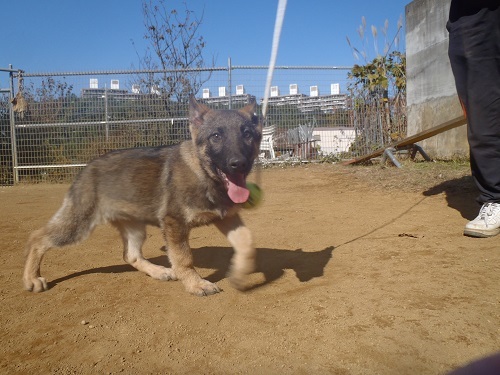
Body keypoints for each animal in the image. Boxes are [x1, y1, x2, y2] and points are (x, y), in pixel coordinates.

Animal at [24, 96, 262, 296]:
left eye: (247, 134)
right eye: (216, 136)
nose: (238, 164)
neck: (204, 174)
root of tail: (87, 168)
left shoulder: (227, 217)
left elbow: (247, 242)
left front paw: (240, 273)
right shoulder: (175, 223)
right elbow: (184, 258)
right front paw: (196, 284)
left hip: (135, 227)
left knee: (130, 255)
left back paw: (159, 271)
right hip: (77, 226)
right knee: (37, 237)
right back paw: (32, 278)